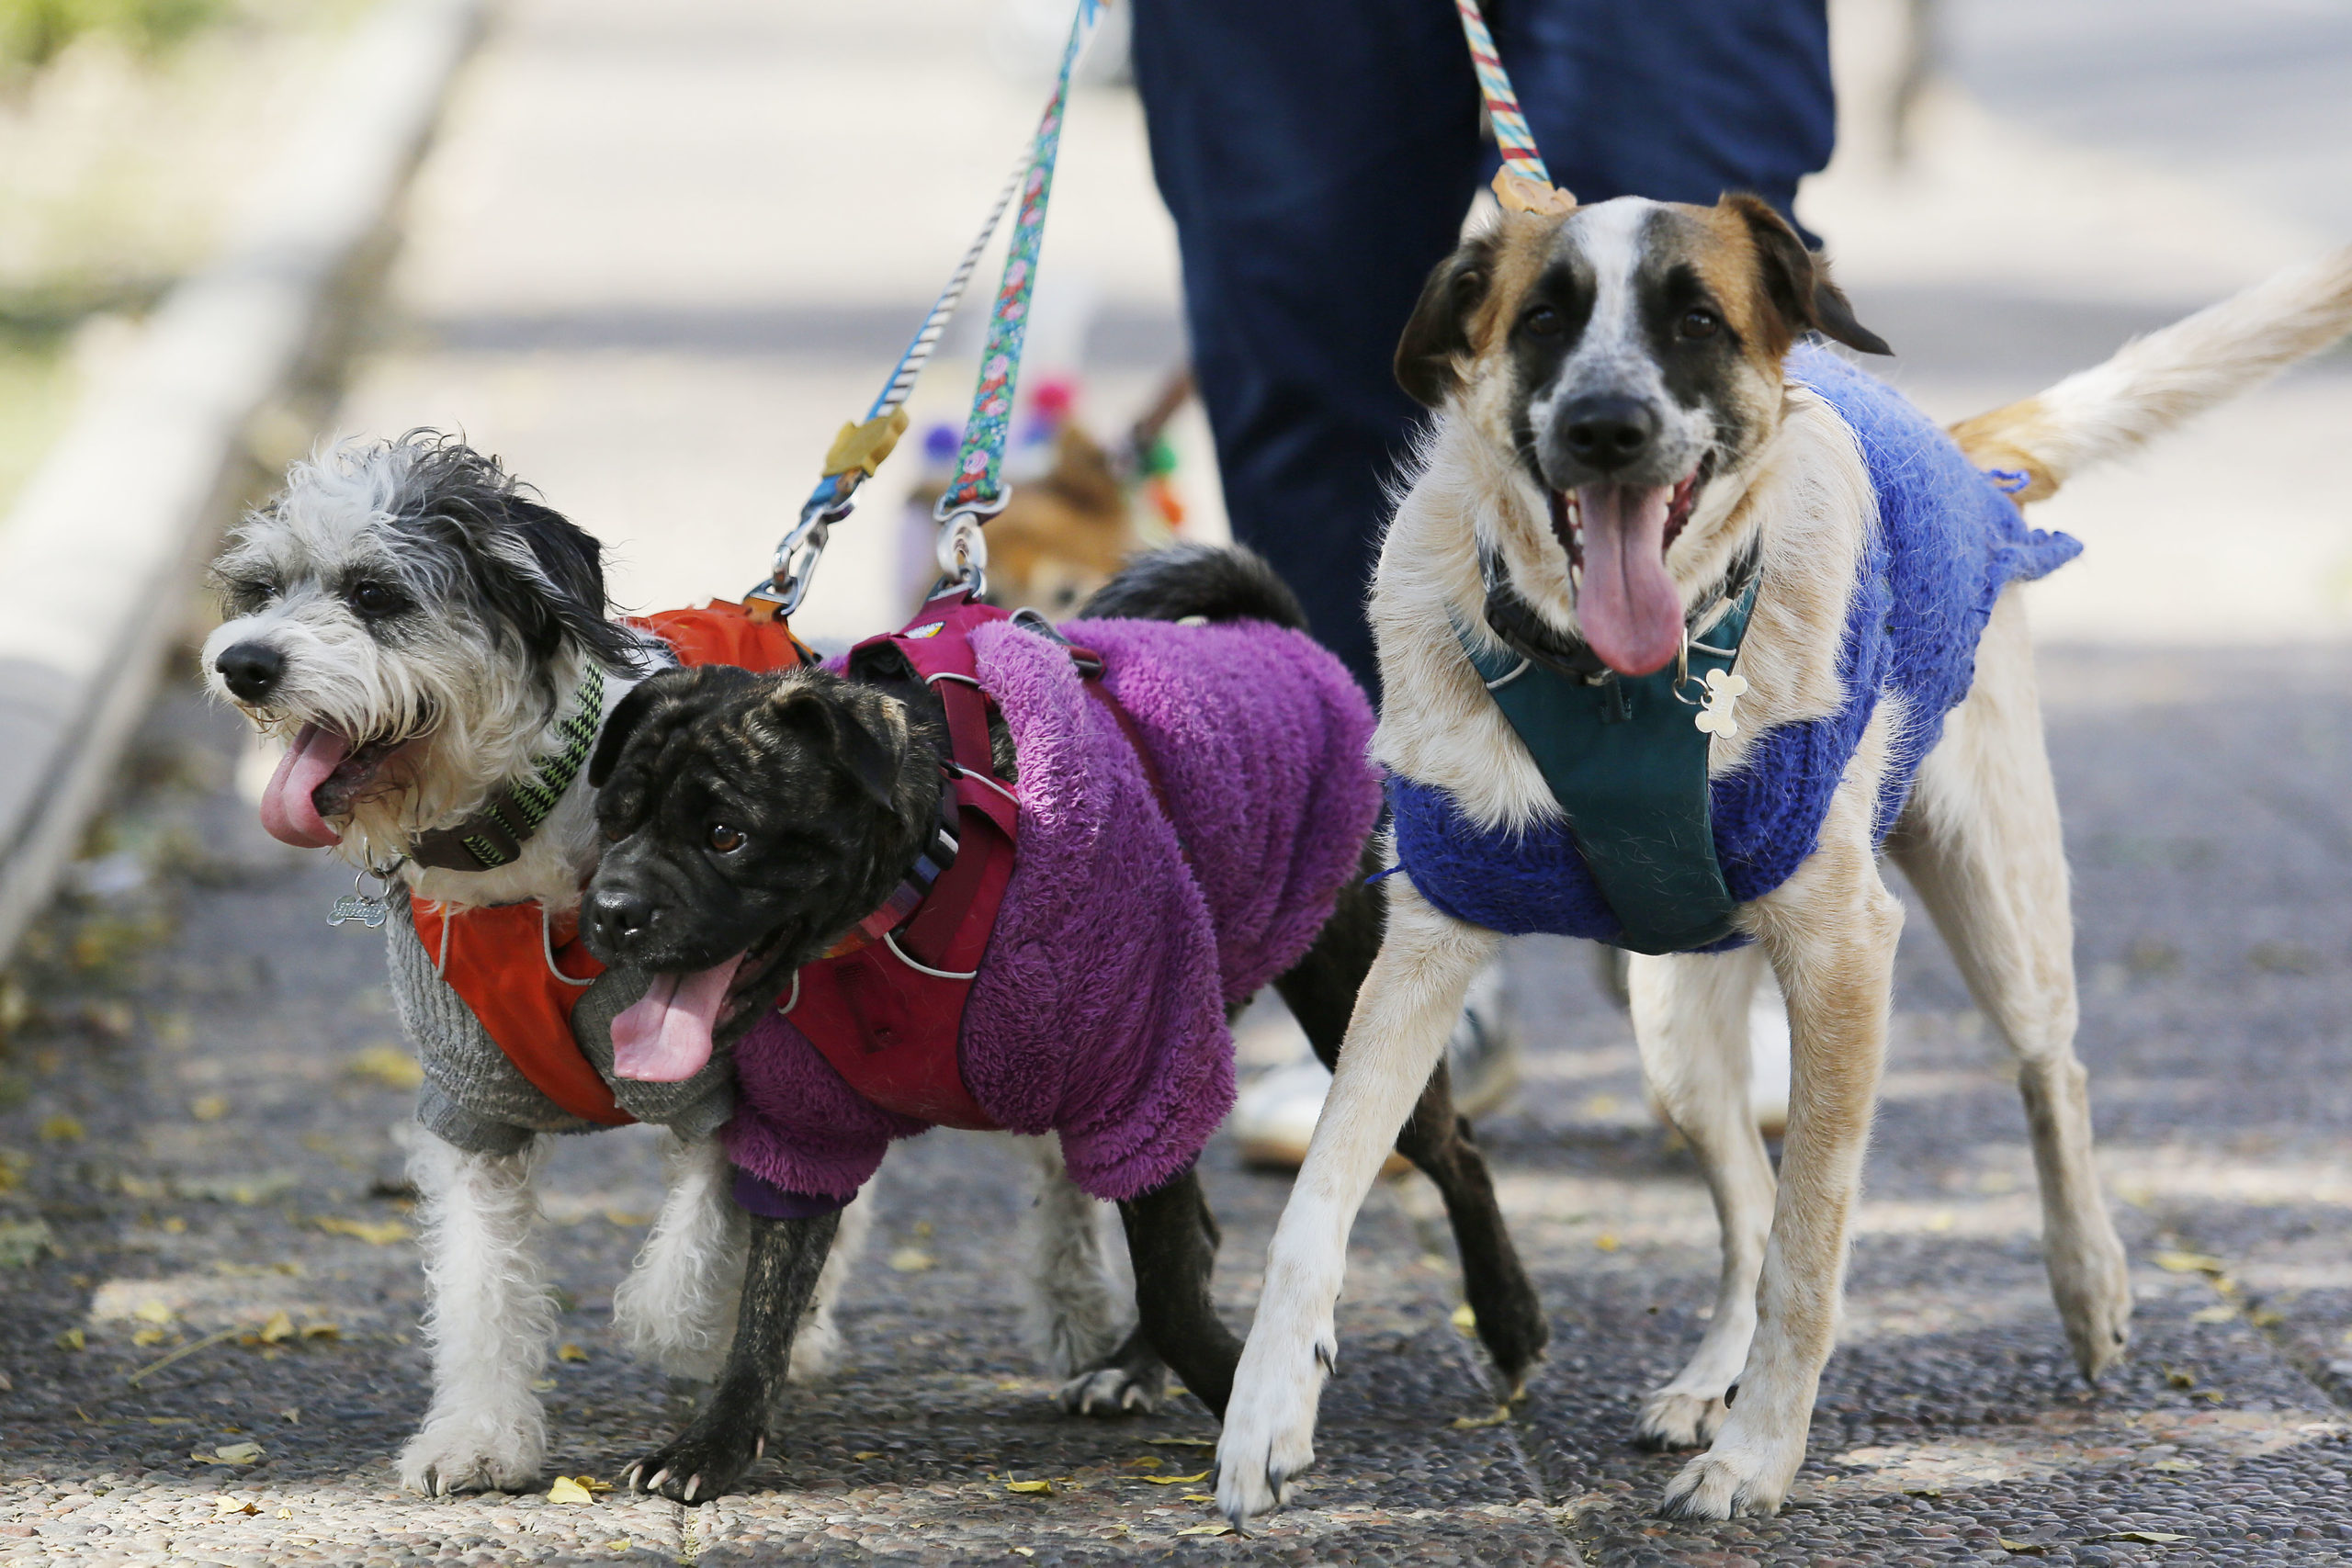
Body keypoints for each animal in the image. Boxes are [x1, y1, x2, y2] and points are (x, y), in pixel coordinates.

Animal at [198, 433, 1199, 1495]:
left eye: (375, 593)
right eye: (260, 587)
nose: (243, 663)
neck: (528, 847)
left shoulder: (728, 1085)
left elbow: (688, 1272)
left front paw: (692, 1348)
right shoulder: (472, 1105)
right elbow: (480, 1285)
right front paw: (477, 1436)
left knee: (1062, 1173)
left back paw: (1081, 1319)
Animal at [579, 544, 1550, 1503]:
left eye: (727, 833)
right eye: (612, 822)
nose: (610, 908)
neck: (914, 887)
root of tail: (1279, 636)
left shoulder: (1140, 1084)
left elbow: (1168, 1287)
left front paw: (1248, 1400)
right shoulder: (810, 1131)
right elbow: (765, 1306)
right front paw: (716, 1438)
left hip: (1350, 1002)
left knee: (1453, 1150)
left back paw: (1508, 1320)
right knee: (1207, 1227)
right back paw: (1135, 1367)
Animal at [1210, 194, 2352, 1525]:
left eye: (1697, 320)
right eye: (1543, 317)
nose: (1608, 428)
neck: (1615, 688)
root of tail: (1961, 452)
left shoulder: (1847, 956)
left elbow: (1812, 1242)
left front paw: (1758, 1456)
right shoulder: (1429, 942)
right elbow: (1320, 1189)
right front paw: (1266, 1411)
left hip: (1996, 901)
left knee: (2046, 1069)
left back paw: (2087, 1285)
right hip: (1667, 1019)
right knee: (1745, 1203)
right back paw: (1712, 1376)